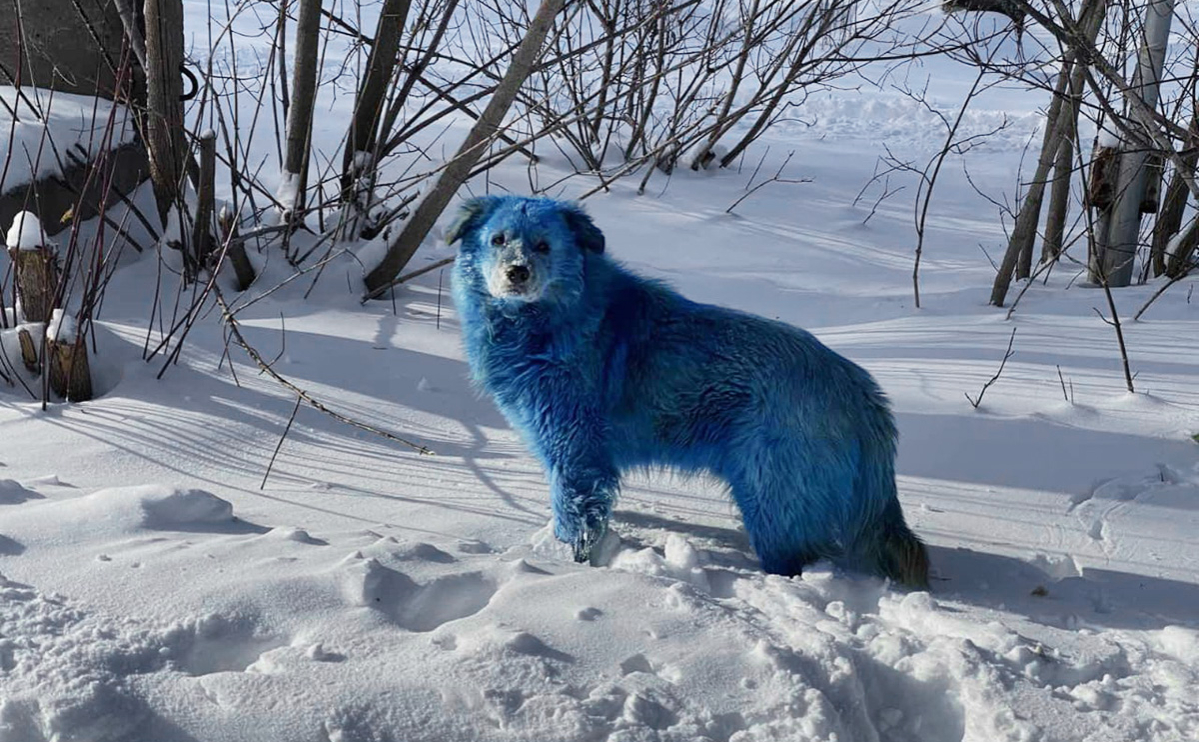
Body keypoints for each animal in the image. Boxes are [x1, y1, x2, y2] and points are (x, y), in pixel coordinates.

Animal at [450, 195, 925, 587]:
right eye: (498, 239)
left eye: (544, 245)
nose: (516, 273)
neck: (554, 318)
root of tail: (860, 391)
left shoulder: (575, 453)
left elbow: (576, 517)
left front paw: (566, 567)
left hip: (771, 499)